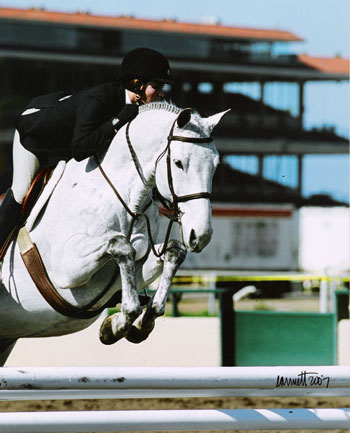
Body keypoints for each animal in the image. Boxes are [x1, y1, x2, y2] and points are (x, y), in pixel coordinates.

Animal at [0, 102, 227, 364]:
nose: (201, 235)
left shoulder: (136, 259)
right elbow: (120, 245)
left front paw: (136, 324)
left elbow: (173, 251)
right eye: (179, 162)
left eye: (216, 165)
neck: (126, 196)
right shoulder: (64, 270)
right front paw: (117, 324)